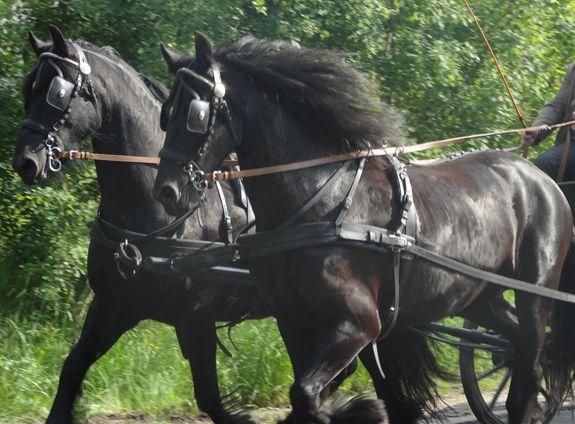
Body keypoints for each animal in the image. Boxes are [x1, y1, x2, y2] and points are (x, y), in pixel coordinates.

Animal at [11, 27, 268, 424]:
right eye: (29, 88)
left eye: (58, 92)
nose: (25, 161)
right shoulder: (115, 306)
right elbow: (72, 368)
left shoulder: (197, 318)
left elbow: (209, 397)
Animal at [154, 34, 575, 424]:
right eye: (165, 113)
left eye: (195, 114)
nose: (167, 190)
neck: (321, 203)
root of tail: (538, 177)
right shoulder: (294, 322)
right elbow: (308, 394)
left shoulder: (358, 324)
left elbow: (307, 394)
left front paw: (358, 409)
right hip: (478, 295)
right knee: (516, 346)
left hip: (535, 291)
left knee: (531, 360)